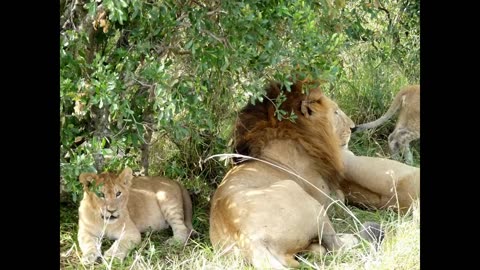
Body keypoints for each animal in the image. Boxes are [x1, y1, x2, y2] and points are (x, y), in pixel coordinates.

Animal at [208, 79, 380, 268]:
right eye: (335, 112)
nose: (353, 127)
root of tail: (251, 241)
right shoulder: (326, 198)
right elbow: (341, 199)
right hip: (307, 201)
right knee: (336, 246)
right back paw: (357, 237)